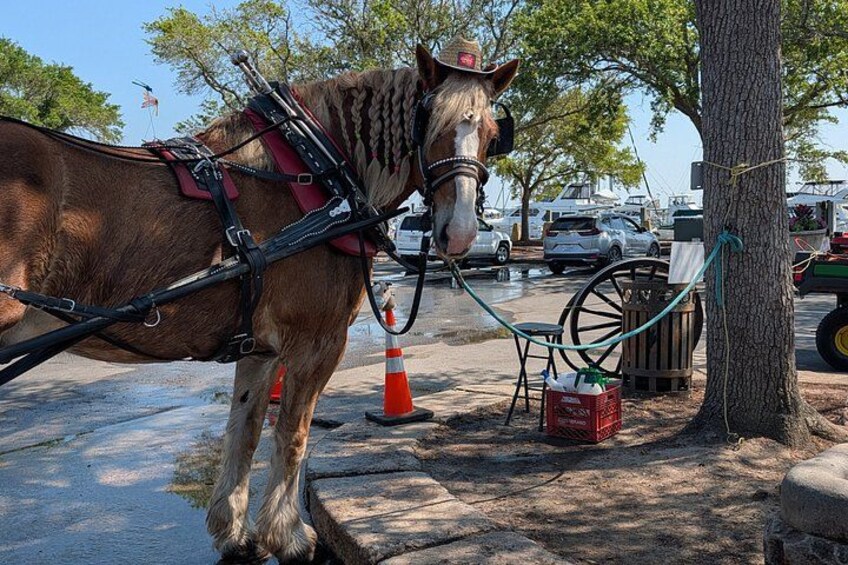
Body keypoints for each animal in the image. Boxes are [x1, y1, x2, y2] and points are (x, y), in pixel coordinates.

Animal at [0, 45, 518, 562]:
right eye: (431, 122)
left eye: (492, 135)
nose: (461, 233)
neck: (314, 170)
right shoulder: (317, 340)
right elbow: (293, 434)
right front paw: (288, 536)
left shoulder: (259, 349)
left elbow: (244, 430)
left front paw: (234, 531)